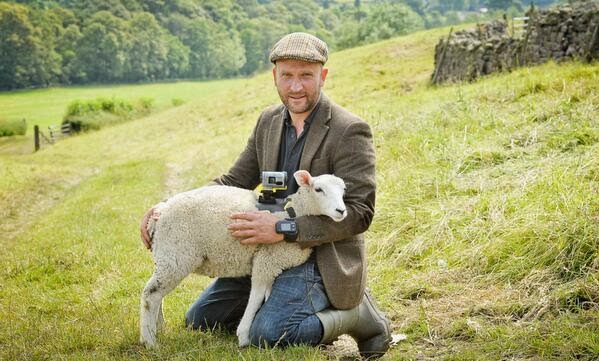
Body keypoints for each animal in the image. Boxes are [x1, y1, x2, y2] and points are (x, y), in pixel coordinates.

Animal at [140, 170, 346, 348]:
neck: (295, 213)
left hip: (168, 257)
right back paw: (149, 341)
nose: (341, 211)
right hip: (175, 254)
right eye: (319, 189)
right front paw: (244, 336)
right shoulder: (266, 260)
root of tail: (158, 215)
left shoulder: (273, 264)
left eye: (343, 191)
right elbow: (255, 296)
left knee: (157, 294)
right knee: (151, 295)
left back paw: (158, 329)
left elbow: (267, 295)